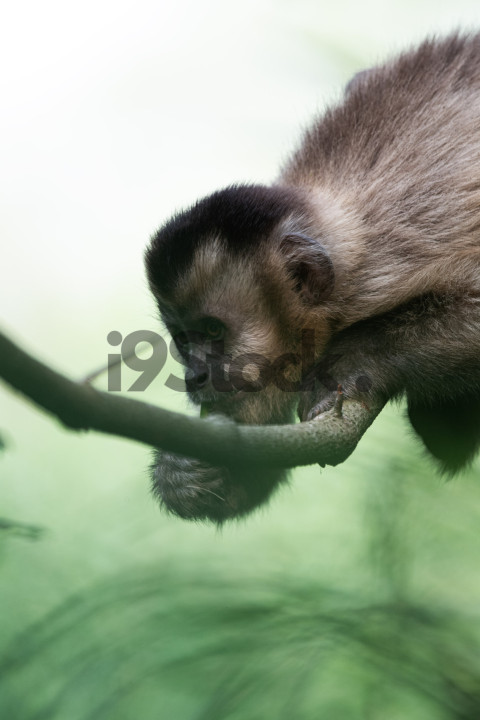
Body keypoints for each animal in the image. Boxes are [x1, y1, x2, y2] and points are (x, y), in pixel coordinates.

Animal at [145, 33, 480, 522]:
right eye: (184, 340)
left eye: (214, 332)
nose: (194, 377)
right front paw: (188, 473)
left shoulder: (386, 266)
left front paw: (352, 357)